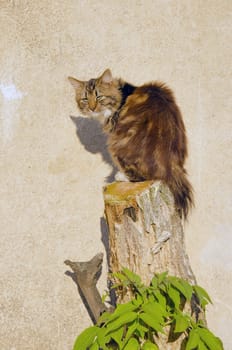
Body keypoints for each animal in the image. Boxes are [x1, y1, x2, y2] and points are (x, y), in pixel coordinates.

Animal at [68, 68, 194, 217]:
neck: (122, 96)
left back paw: (121, 176)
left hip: (115, 145)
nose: (92, 108)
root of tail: (171, 166)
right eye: (85, 99)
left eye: (99, 97)